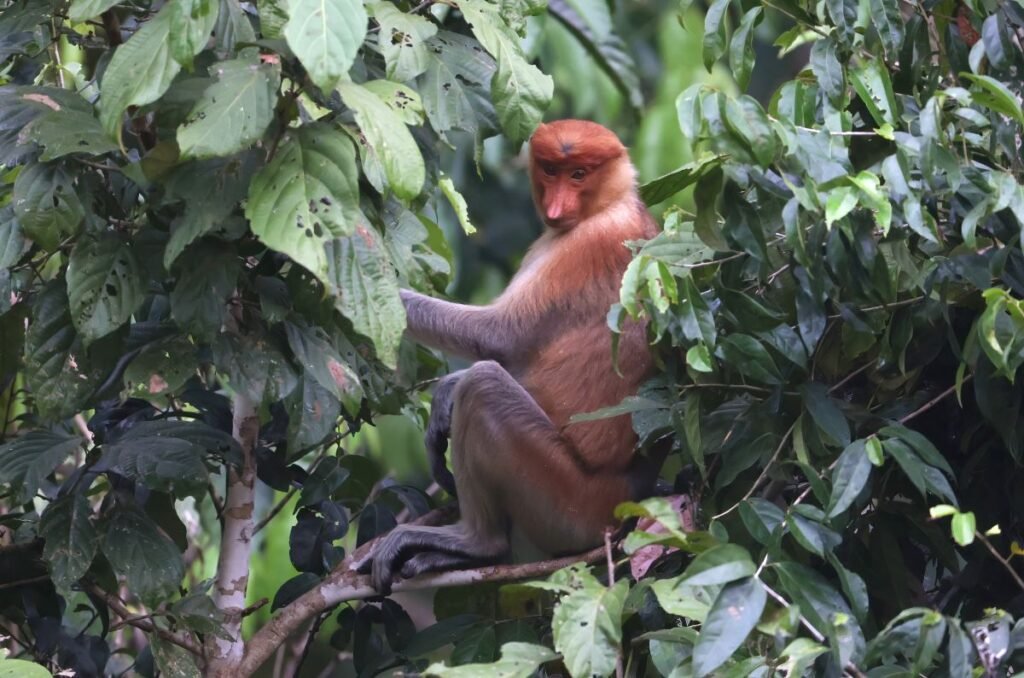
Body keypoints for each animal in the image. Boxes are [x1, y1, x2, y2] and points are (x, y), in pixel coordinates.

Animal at [356, 120, 660, 593]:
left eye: (579, 175)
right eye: (551, 170)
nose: (556, 207)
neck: (611, 203)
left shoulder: (587, 246)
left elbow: (499, 337)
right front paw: (444, 397)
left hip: (565, 499)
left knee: (485, 387)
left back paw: (478, 543)